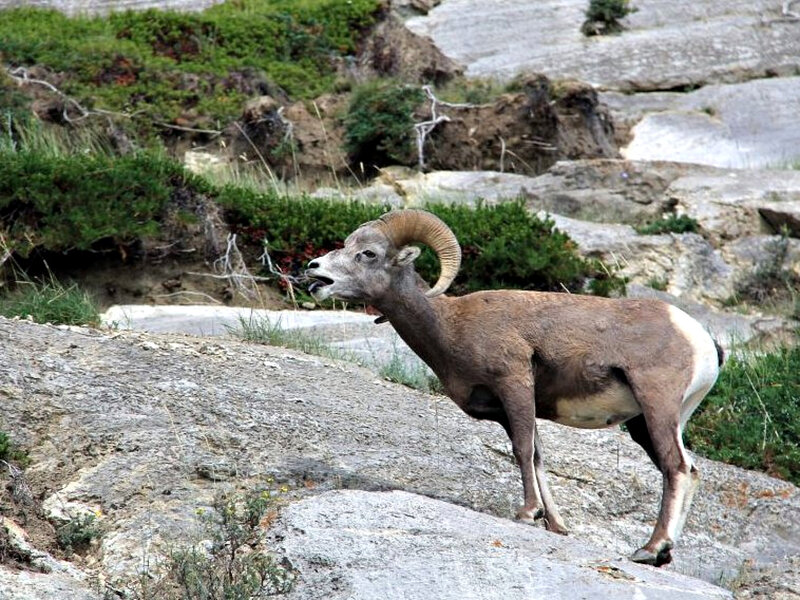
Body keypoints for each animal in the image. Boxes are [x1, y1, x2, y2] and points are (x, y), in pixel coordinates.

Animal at [306, 208, 722, 566]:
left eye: (368, 254)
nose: (313, 270)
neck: (450, 325)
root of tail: (700, 340)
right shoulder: (505, 410)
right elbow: (536, 456)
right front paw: (556, 525)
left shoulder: (515, 385)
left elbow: (522, 450)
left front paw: (526, 514)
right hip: (647, 424)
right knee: (690, 471)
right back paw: (664, 555)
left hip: (657, 407)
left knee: (675, 467)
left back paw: (650, 550)